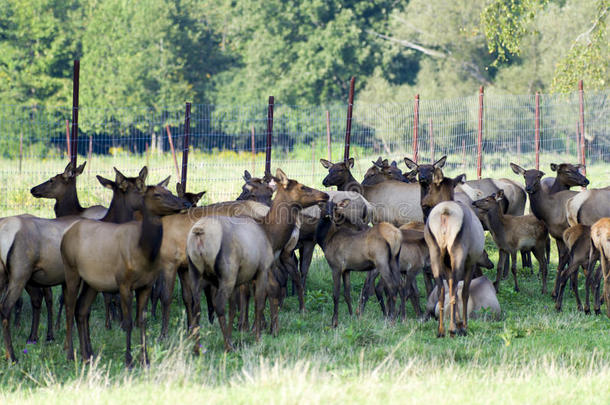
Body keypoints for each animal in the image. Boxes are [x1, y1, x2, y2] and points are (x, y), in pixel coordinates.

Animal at [61, 168, 190, 366]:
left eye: (170, 192)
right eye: (158, 194)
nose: (185, 203)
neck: (143, 251)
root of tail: (65, 235)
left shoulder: (146, 285)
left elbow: (142, 321)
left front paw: (145, 359)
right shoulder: (123, 283)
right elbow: (128, 321)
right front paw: (129, 359)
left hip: (92, 282)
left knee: (81, 310)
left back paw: (87, 355)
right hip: (71, 270)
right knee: (69, 307)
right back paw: (70, 354)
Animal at [185, 167, 328, 350]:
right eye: (303, 187)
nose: (325, 195)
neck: (271, 234)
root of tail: (199, 236)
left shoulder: (247, 274)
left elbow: (236, 306)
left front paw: (246, 330)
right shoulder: (261, 268)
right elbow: (258, 301)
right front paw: (257, 336)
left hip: (196, 272)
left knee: (196, 305)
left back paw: (198, 347)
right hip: (227, 272)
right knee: (219, 304)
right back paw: (228, 346)